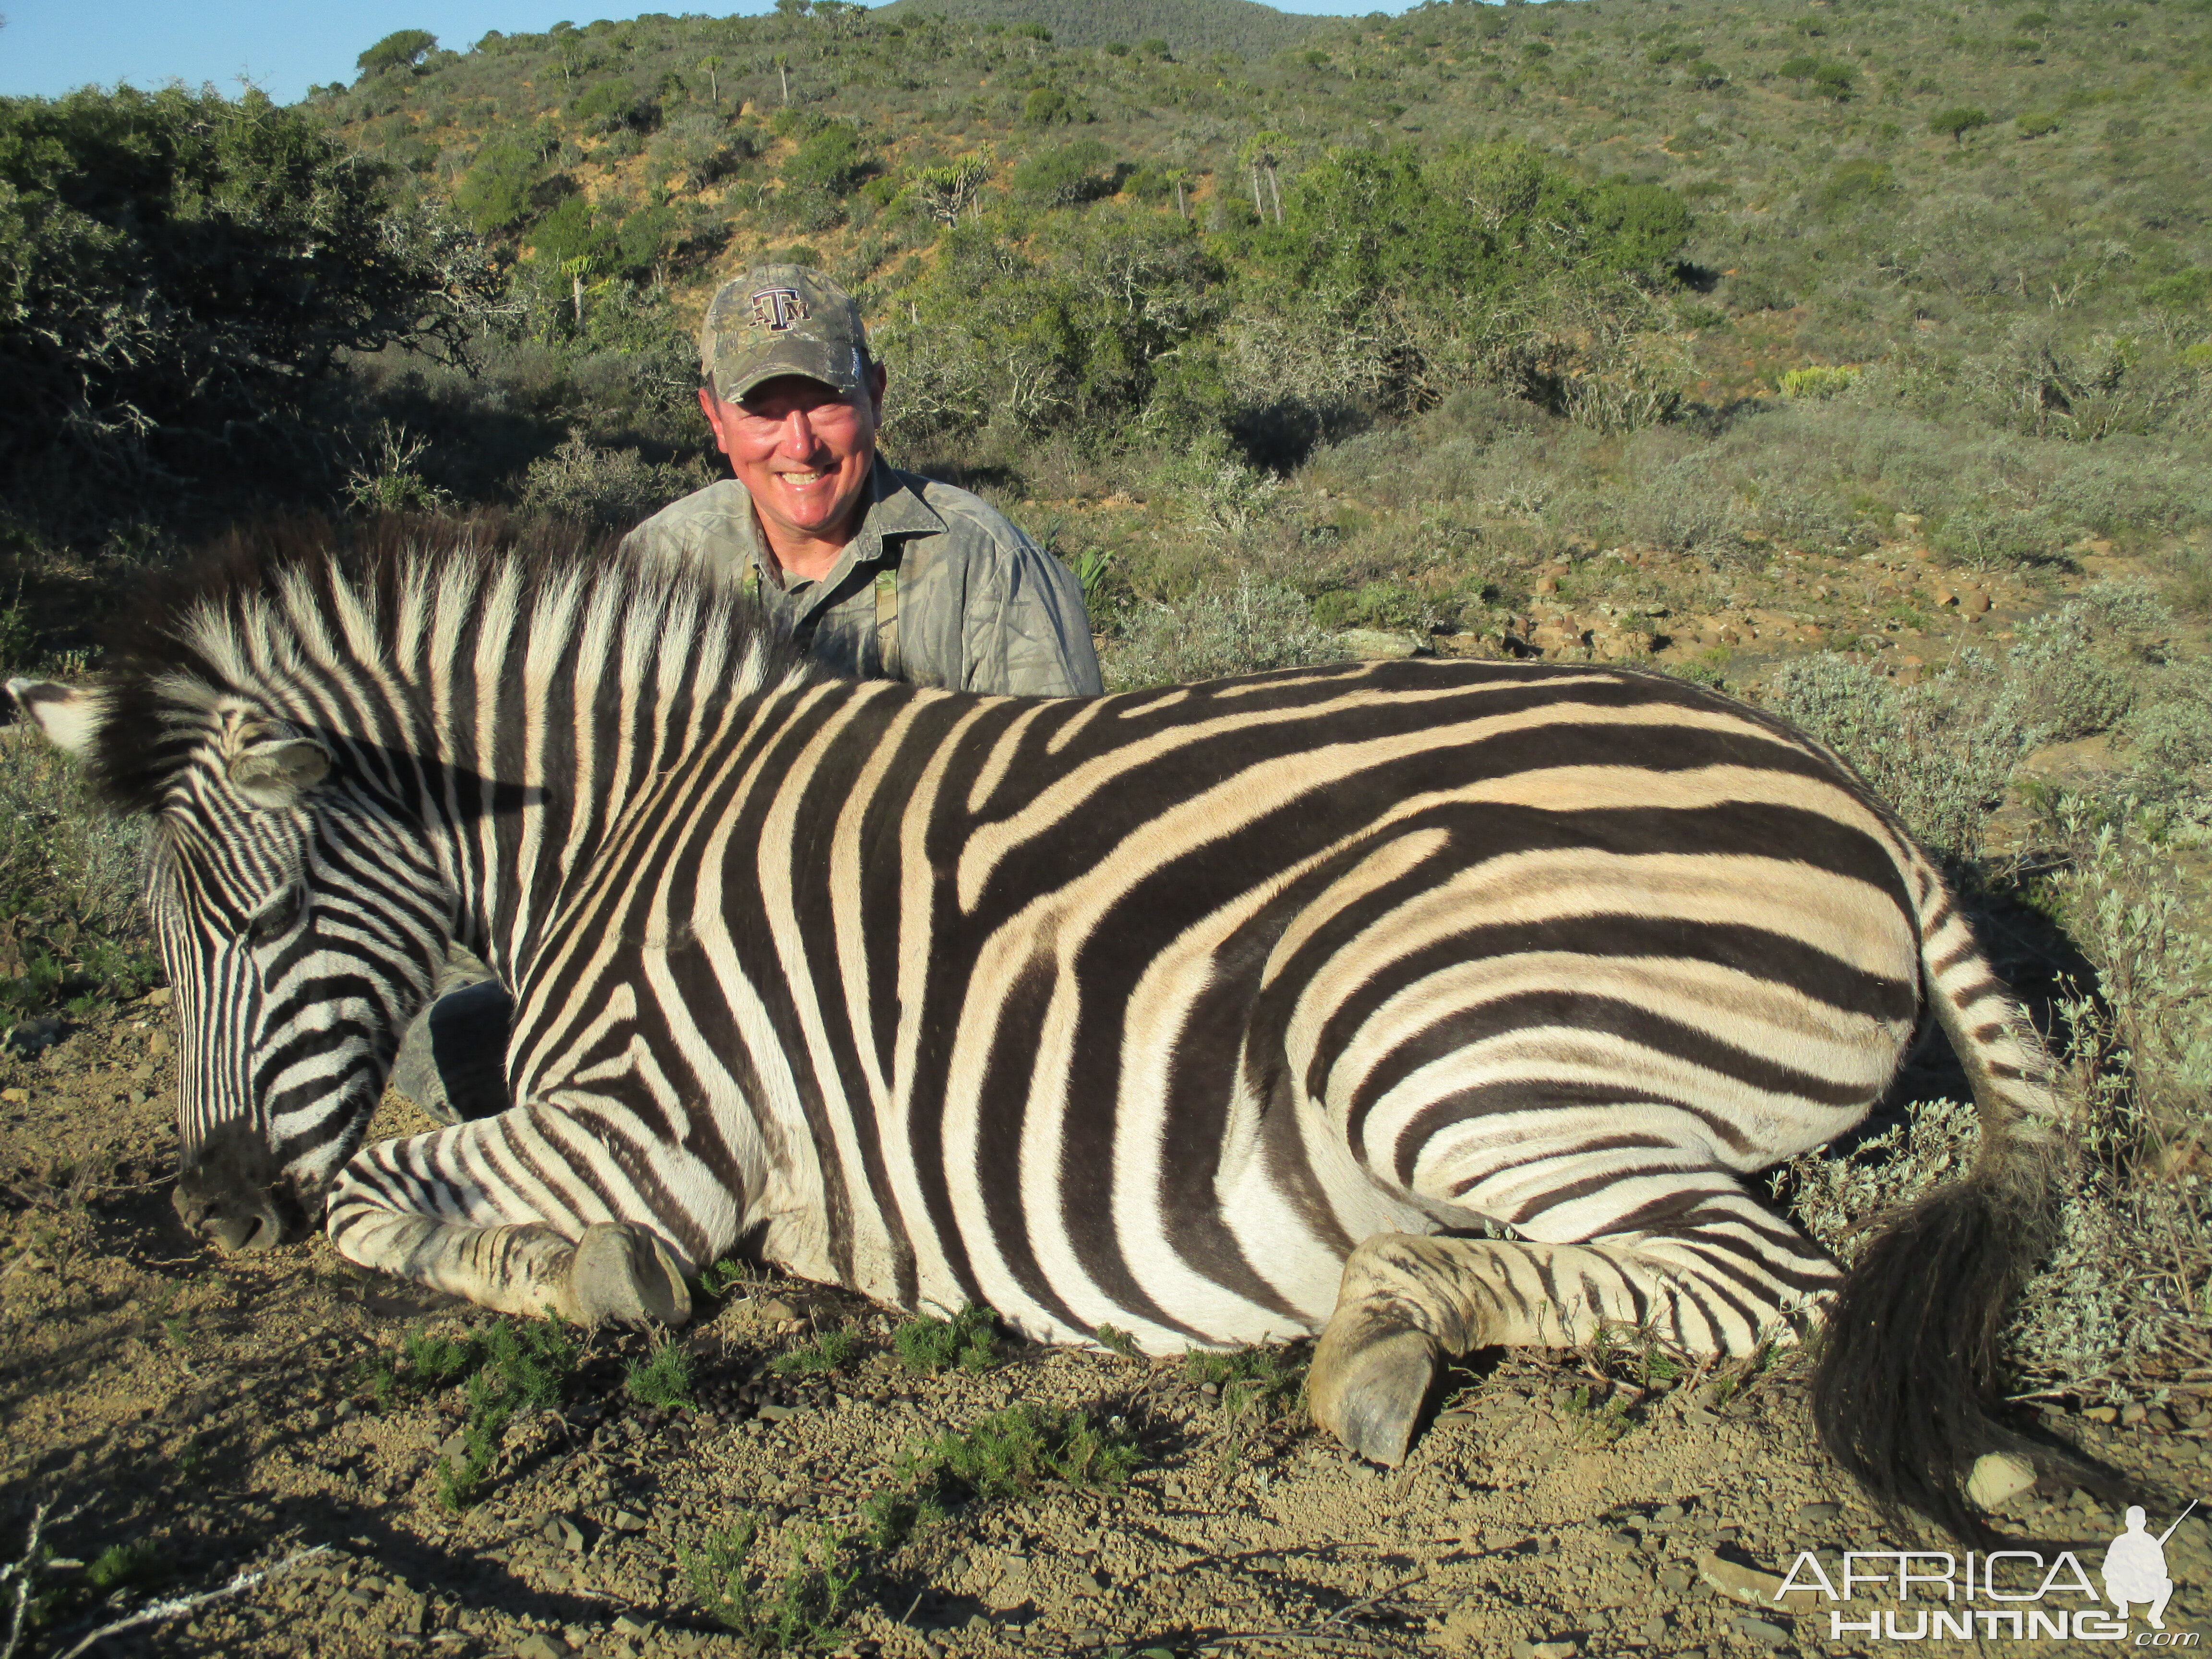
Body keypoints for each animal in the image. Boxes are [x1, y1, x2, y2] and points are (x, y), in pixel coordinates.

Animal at [4, 522, 2070, 1548]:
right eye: (157, 940)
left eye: (265, 917)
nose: (204, 1215)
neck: (620, 820)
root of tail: (1856, 797)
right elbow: (389, 1168)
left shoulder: (654, 1119)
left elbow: (383, 1194)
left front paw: (591, 1273)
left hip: (1438, 1028)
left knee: (1763, 1281)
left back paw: (1378, 1335)